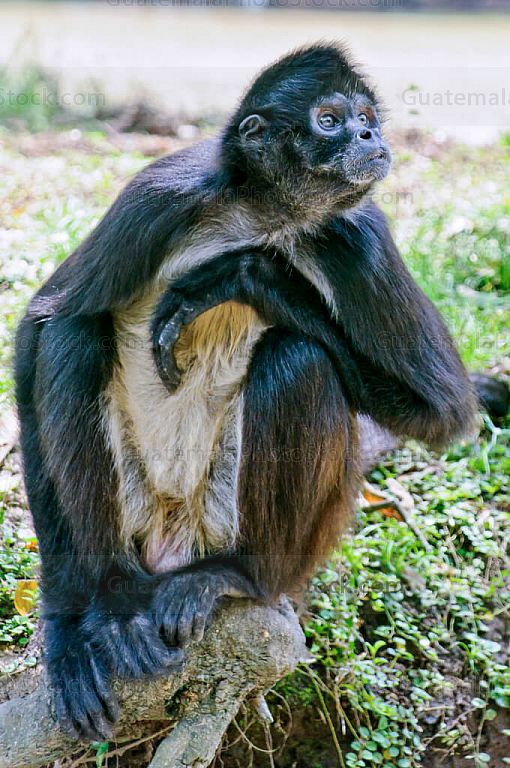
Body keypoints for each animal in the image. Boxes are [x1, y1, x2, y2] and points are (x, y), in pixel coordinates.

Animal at [15, 43, 486, 741]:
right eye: (329, 120)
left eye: (366, 117)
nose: (370, 137)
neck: (265, 216)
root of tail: (173, 544)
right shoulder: (161, 195)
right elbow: (39, 327)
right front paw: (65, 620)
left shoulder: (358, 234)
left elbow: (447, 413)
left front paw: (252, 277)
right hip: (140, 513)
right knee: (74, 335)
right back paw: (115, 598)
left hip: (288, 534)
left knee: (297, 357)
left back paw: (240, 576)